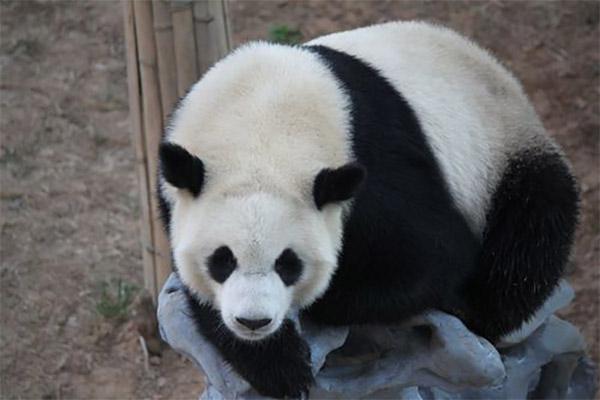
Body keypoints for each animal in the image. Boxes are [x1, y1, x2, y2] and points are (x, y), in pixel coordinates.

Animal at [157, 21, 580, 396]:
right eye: (222, 260)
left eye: (288, 263)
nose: (254, 321)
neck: (262, 122)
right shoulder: (175, 188)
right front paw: (277, 363)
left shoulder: (375, 164)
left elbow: (431, 259)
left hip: (504, 152)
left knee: (526, 242)